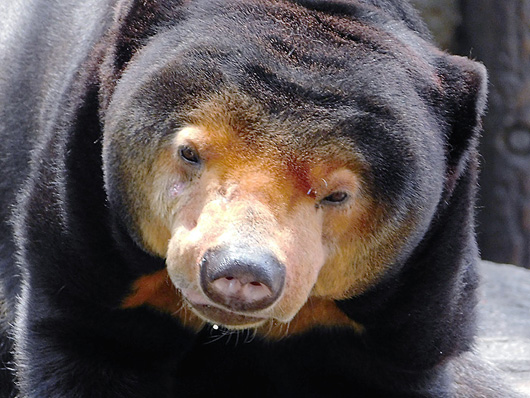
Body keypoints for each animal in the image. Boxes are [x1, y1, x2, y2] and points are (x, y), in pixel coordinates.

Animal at [0, 0, 520, 398]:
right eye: (189, 152)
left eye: (337, 194)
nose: (239, 272)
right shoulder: (83, 213)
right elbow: (89, 337)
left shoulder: (416, 292)